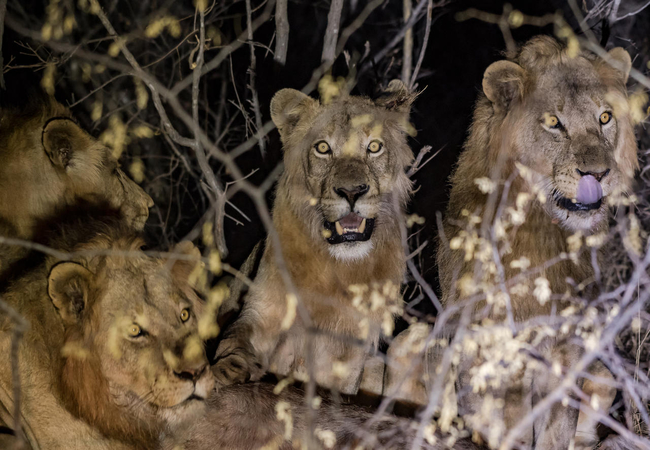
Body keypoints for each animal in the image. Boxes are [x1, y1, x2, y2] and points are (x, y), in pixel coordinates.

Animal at [212, 81, 415, 395]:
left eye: (374, 147)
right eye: (323, 148)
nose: (352, 192)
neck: (338, 269)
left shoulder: (350, 357)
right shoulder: (262, 312)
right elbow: (236, 338)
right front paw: (228, 370)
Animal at [387, 36, 637, 448]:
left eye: (605, 117)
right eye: (553, 122)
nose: (599, 173)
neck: (549, 232)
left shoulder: (567, 350)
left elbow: (556, 430)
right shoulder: (493, 348)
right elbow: (508, 428)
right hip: (415, 337)